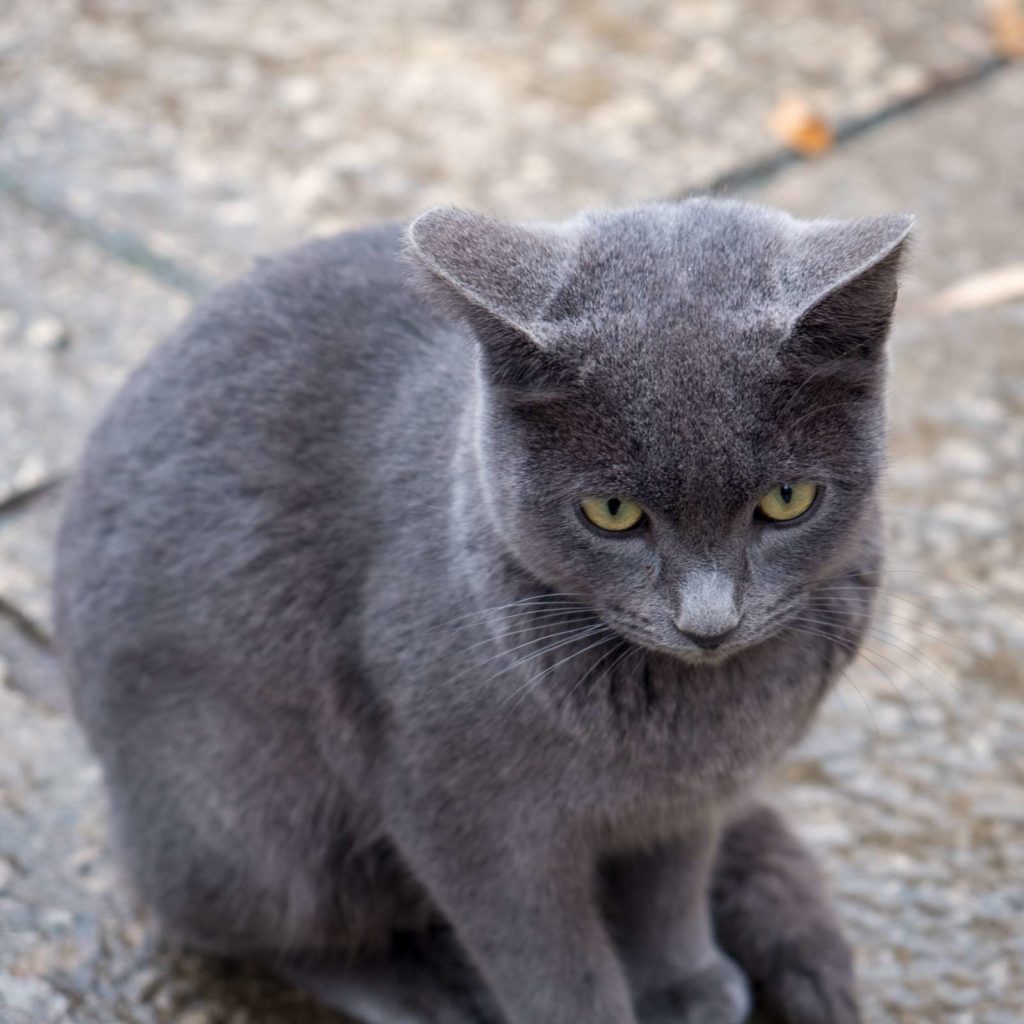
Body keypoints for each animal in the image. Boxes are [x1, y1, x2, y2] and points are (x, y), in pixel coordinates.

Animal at [54, 197, 913, 1024]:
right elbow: (549, 959)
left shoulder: (687, 800)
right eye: (611, 512)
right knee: (244, 924)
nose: (708, 622)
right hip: (247, 814)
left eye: (787, 500)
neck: (694, 723)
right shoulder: (465, 815)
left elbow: (671, 891)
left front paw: (683, 987)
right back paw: (425, 991)